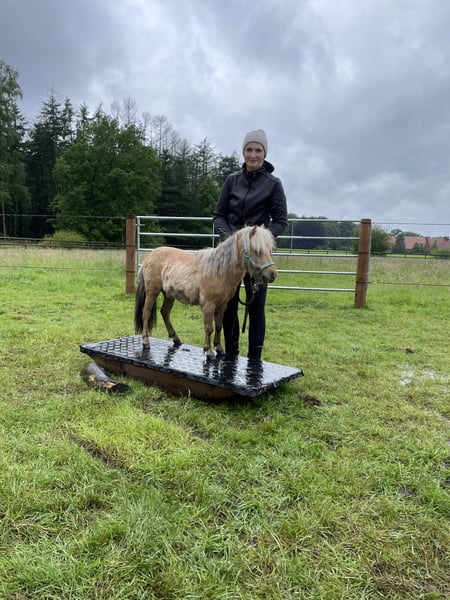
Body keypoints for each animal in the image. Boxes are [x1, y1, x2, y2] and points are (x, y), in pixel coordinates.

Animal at [134, 225, 277, 358]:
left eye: (270, 250)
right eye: (258, 251)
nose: (272, 275)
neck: (218, 270)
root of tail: (149, 256)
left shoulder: (222, 305)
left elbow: (218, 326)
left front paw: (219, 348)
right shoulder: (208, 305)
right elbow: (209, 328)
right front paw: (208, 351)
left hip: (169, 294)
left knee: (165, 312)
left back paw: (176, 339)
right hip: (152, 292)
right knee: (146, 313)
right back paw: (146, 341)